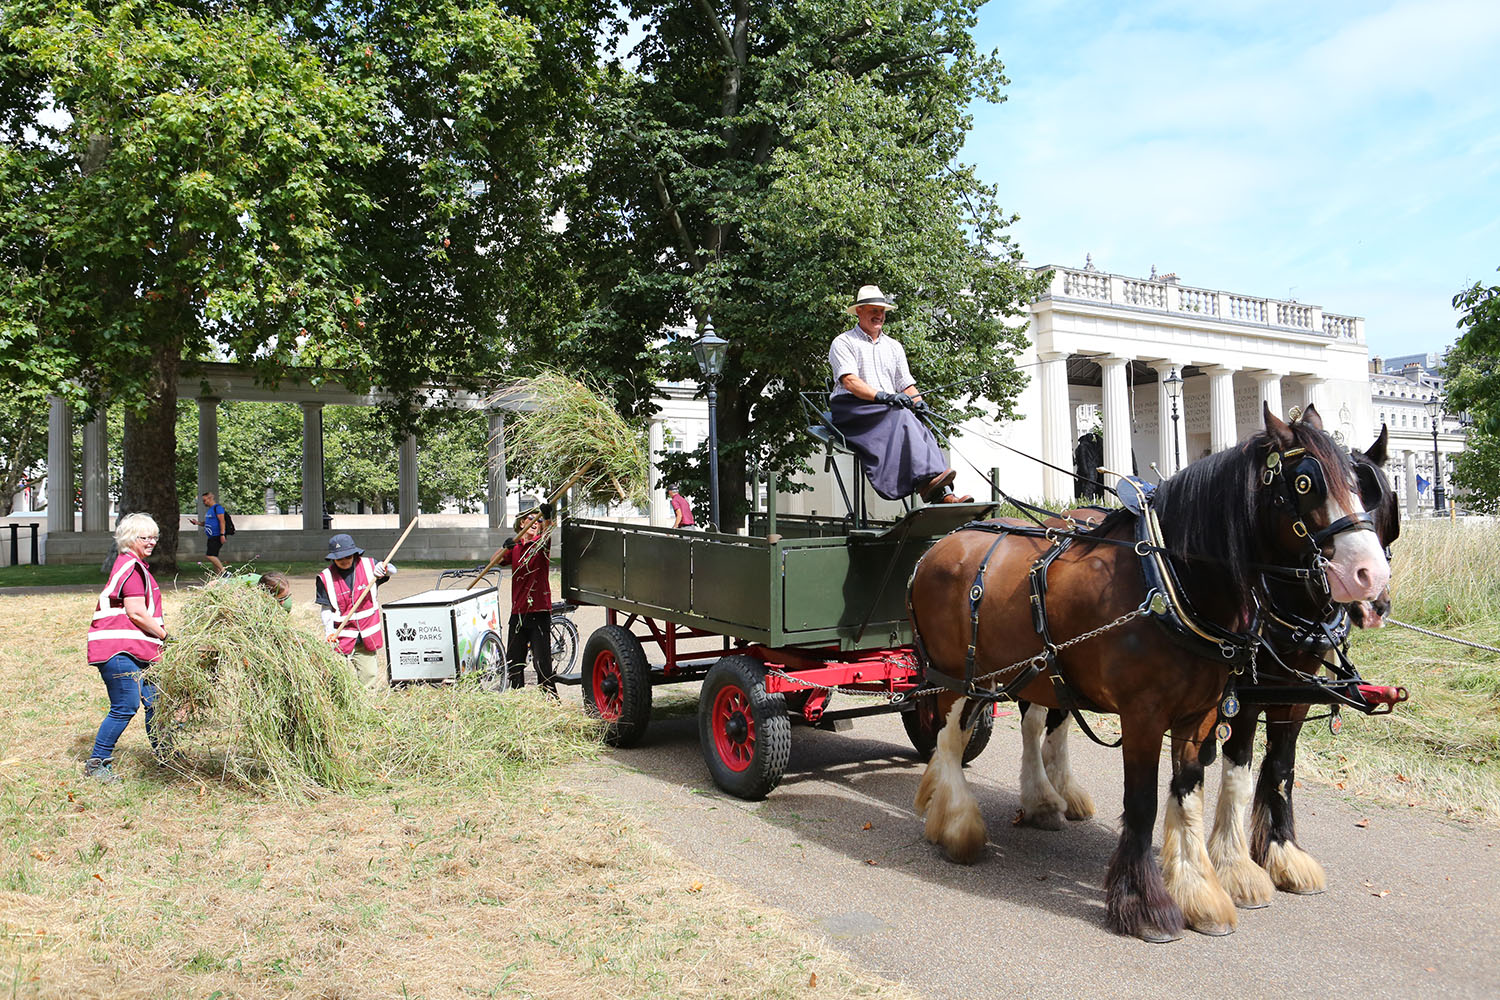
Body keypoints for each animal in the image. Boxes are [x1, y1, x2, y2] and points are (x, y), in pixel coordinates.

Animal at [906, 404, 1386, 941]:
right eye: (1304, 484)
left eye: (1362, 486)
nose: (1372, 578)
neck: (1170, 579)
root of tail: (939, 545)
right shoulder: (1145, 715)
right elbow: (1143, 803)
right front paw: (1145, 904)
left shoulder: (1207, 713)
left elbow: (1195, 792)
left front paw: (1200, 889)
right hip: (954, 676)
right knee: (949, 739)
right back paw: (956, 824)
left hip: (1025, 672)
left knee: (1029, 724)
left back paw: (1036, 801)